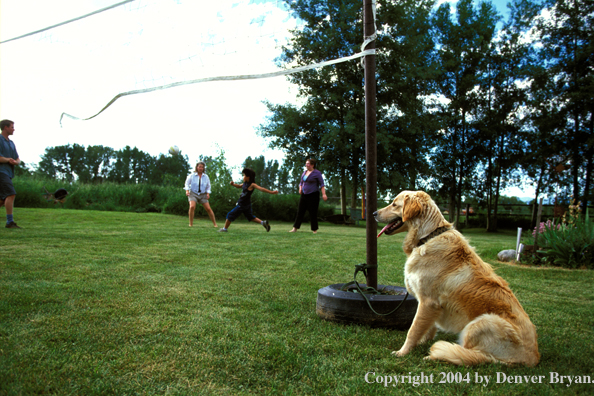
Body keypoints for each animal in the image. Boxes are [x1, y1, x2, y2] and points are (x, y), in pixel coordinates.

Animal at [374, 190, 536, 366]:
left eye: (394, 204)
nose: (374, 213)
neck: (427, 237)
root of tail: (533, 358)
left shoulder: (428, 301)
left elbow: (413, 330)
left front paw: (402, 352)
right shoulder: (431, 306)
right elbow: (427, 327)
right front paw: (422, 342)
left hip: (481, 323)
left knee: (471, 355)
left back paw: (437, 355)